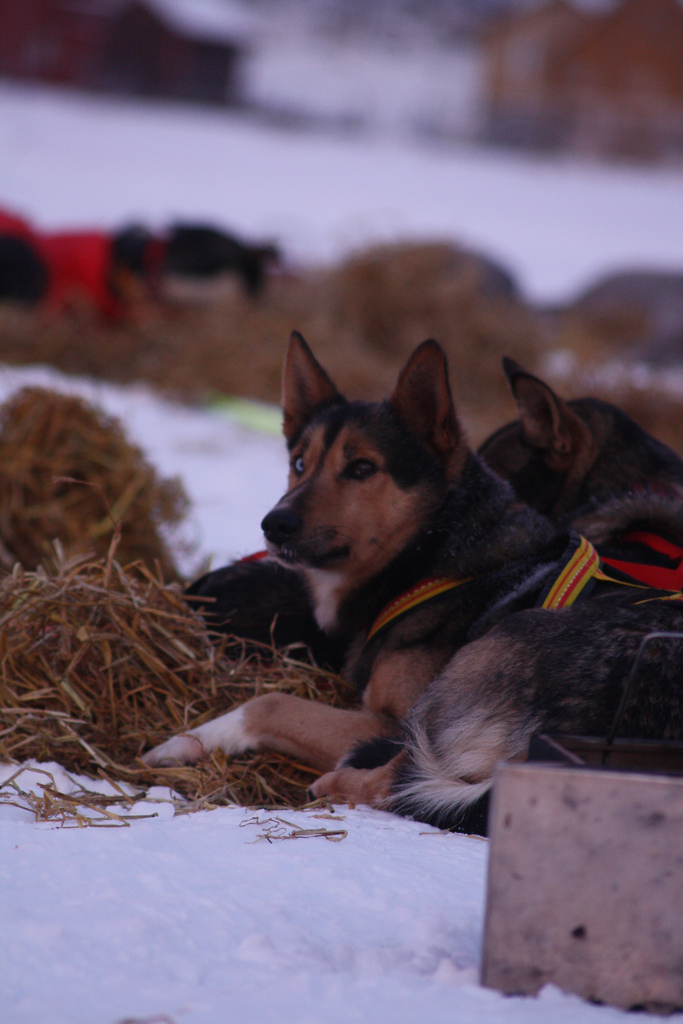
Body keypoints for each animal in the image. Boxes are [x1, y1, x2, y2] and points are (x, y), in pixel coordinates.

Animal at [144, 331, 683, 827]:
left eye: (362, 468)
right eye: (298, 463)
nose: (274, 524)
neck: (435, 554)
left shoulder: (390, 718)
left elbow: (271, 703)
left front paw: (187, 741)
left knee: (395, 781)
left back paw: (337, 782)